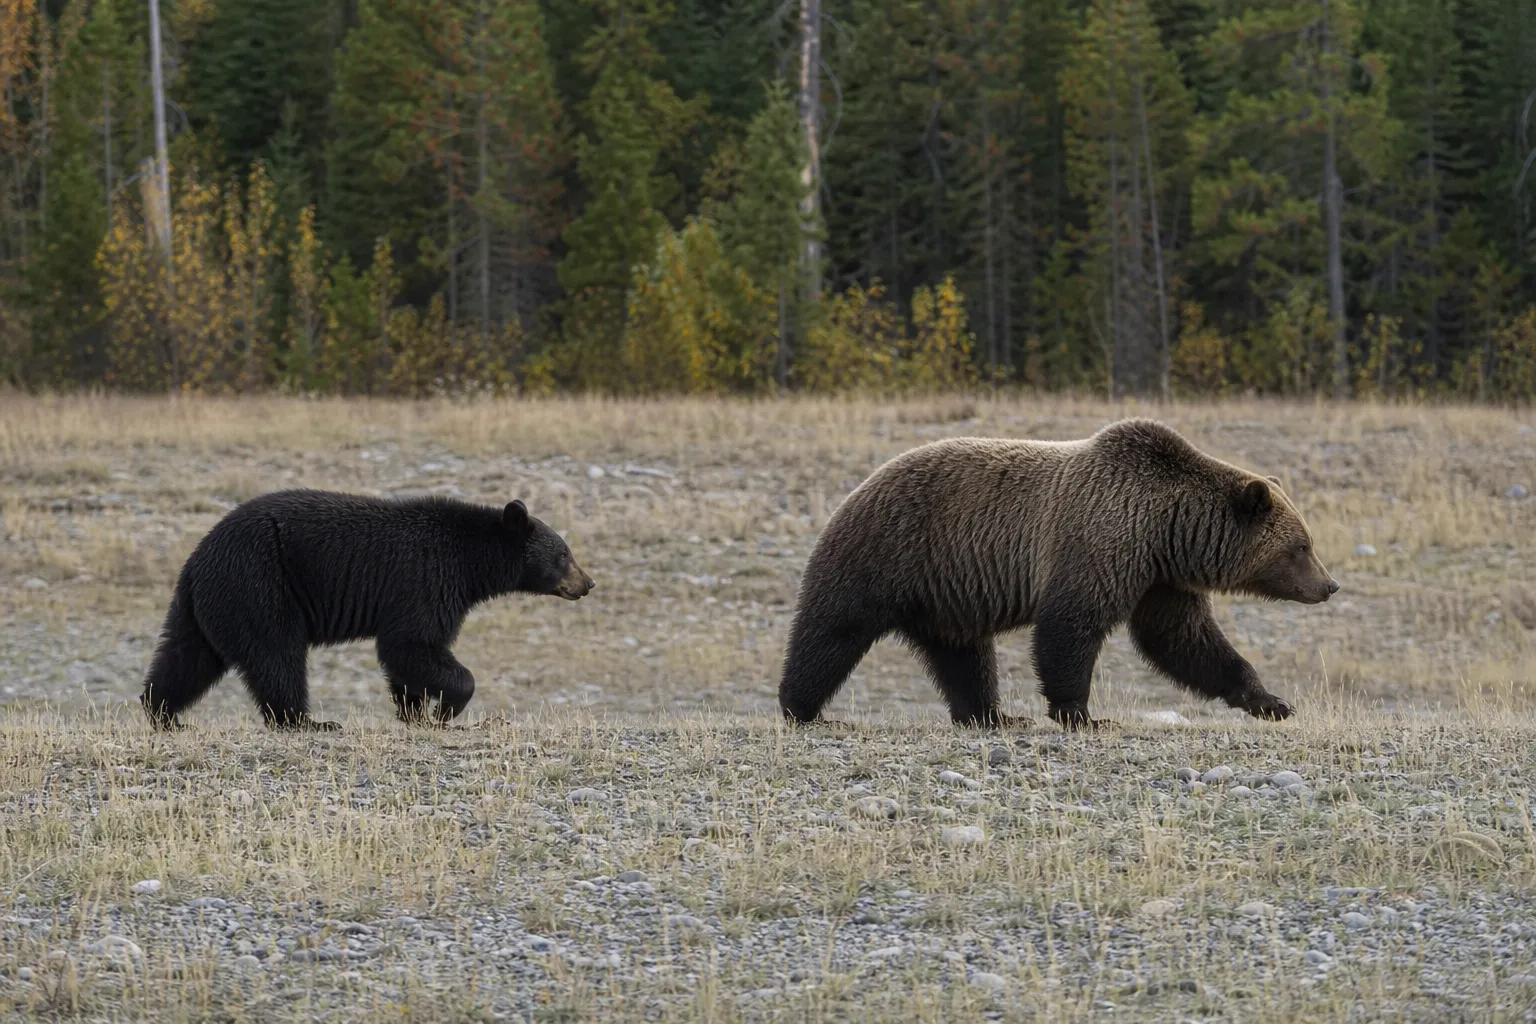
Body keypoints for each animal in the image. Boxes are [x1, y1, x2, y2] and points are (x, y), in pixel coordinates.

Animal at [140, 490, 594, 731]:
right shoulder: (426, 579)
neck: (470, 565)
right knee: (276, 657)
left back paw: (163, 713)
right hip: (259, 587)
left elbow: (410, 657)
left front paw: (415, 711)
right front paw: (446, 708)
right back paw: (308, 722)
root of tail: (196, 561)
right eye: (564, 553)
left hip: (207, 606)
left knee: (185, 657)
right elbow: (412, 644)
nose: (587, 583)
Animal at [777, 418, 1337, 731]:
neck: (1165, 529)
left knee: (964, 656)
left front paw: (1270, 702)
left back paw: (992, 715)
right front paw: (1081, 713)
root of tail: (860, 485)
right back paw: (803, 708)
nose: (1329, 585)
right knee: (832, 632)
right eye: (1302, 546)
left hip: (946, 595)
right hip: (886, 554)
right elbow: (1070, 627)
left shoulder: (1160, 579)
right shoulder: (1100, 542)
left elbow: (1184, 640)